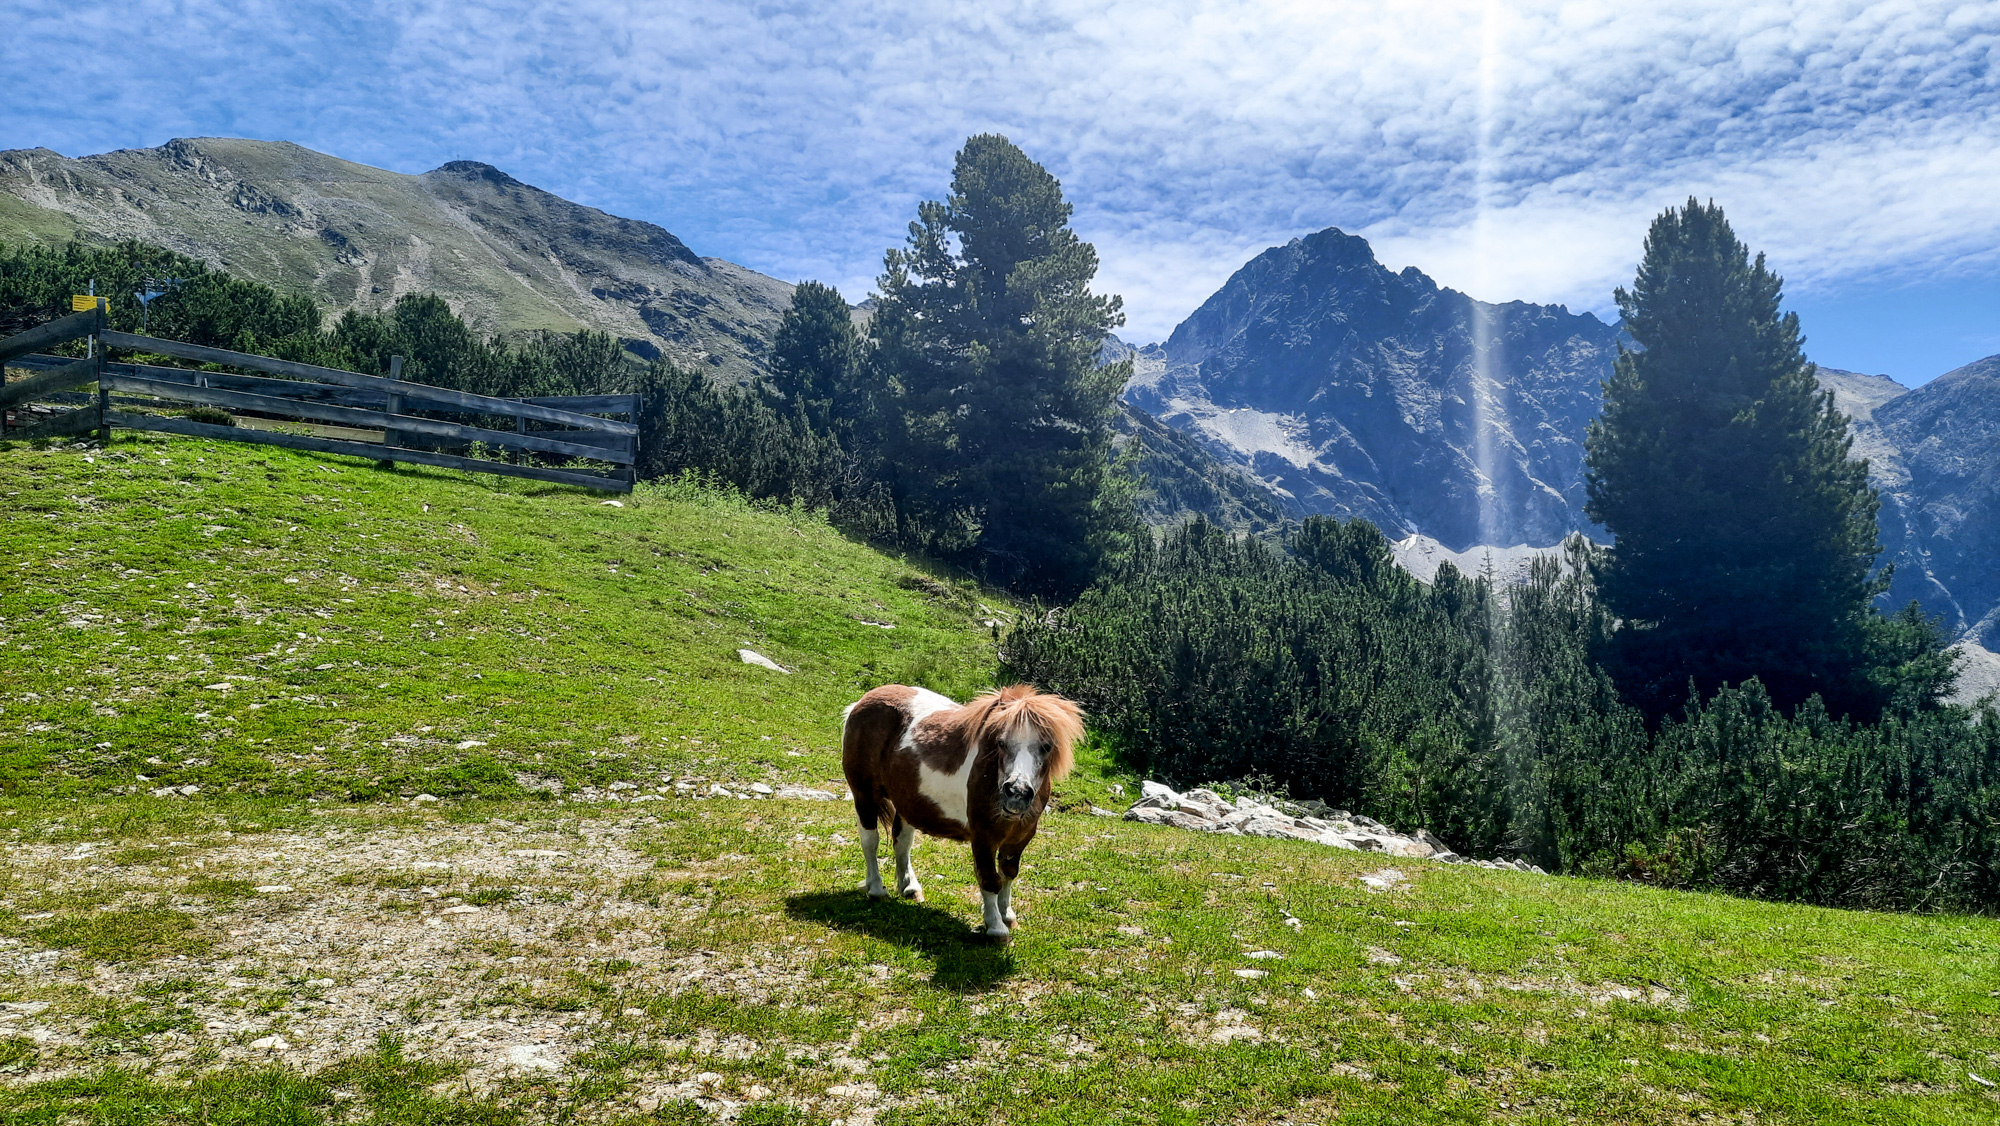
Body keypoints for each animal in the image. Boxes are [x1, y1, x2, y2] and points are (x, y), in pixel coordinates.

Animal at [848, 688, 1096, 944]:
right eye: (1001, 742)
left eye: (1046, 746)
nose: (1016, 792)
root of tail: (861, 702)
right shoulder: (983, 837)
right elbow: (989, 879)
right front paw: (996, 927)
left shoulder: (1020, 838)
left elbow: (1009, 873)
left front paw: (1007, 915)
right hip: (864, 795)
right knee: (870, 841)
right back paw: (877, 889)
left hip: (908, 802)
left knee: (902, 843)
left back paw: (910, 888)